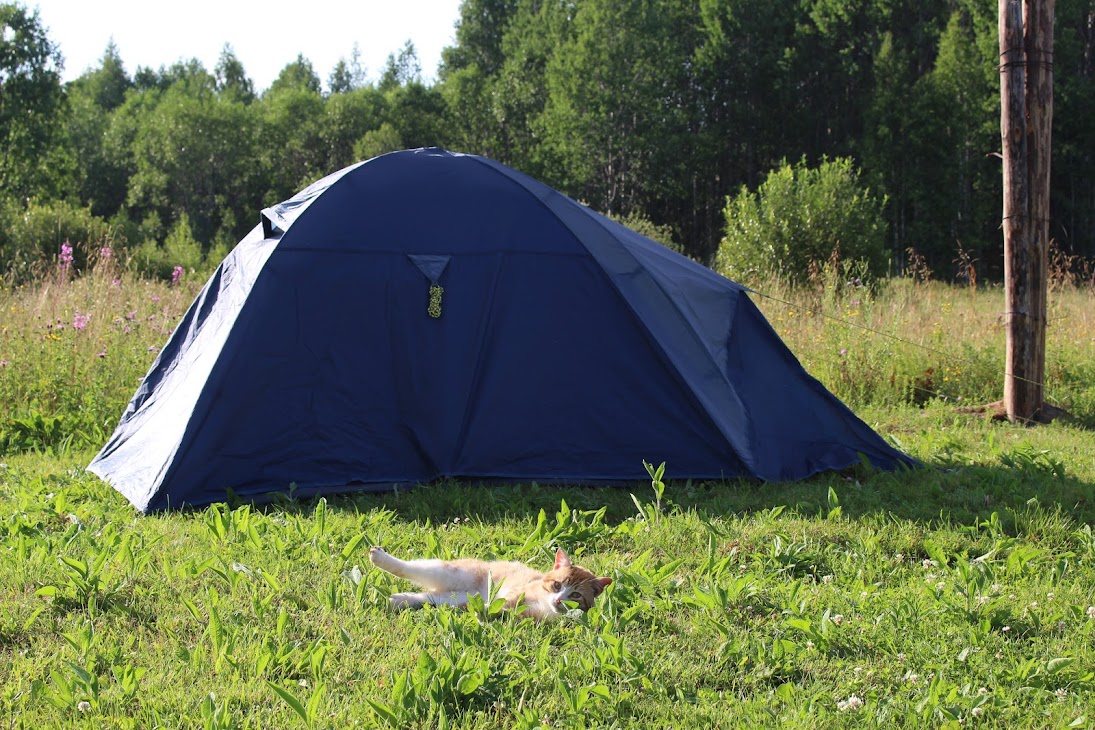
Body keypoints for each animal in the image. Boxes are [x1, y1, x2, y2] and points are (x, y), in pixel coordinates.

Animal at [365, 547, 608, 621]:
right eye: (557, 585)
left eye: (575, 595)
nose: (558, 599)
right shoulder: (516, 595)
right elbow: (505, 602)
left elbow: (503, 610)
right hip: (451, 573)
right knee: (410, 568)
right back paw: (380, 557)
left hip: (452, 599)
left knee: (429, 598)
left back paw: (399, 599)